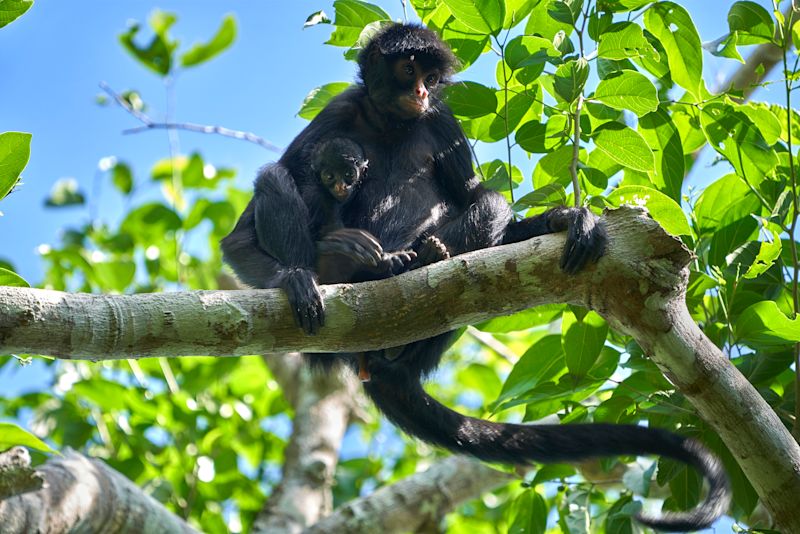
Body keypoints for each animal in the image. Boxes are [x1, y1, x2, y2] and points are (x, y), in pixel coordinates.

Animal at [220, 23, 732, 532]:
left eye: (430, 76)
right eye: (408, 70)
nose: (422, 90)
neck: (392, 124)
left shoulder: (441, 120)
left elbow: (477, 198)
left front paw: (565, 218)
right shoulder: (340, 109)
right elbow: (240, 234)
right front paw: (293, 279)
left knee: (489, 202)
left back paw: (419, 262)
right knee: (276, 178)